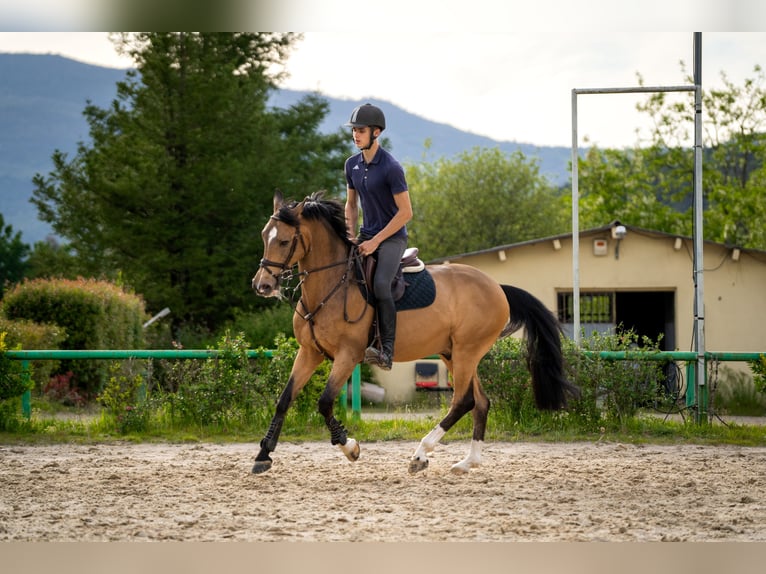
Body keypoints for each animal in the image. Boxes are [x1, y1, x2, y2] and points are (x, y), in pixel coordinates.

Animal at [251, 190, 578, 475]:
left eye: (283, 241)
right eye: (264, 236)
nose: (262, 285)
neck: (332, 284)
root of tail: (497, 287)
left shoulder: (347, 355)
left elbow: (325, 402)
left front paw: (350, 447)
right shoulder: (310, 353)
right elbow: (284, 400)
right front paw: (263, 456)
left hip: (466, 351)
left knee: (463, 401)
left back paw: (421, 454)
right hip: (453, 353)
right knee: (481, 402)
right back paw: (467, 463)